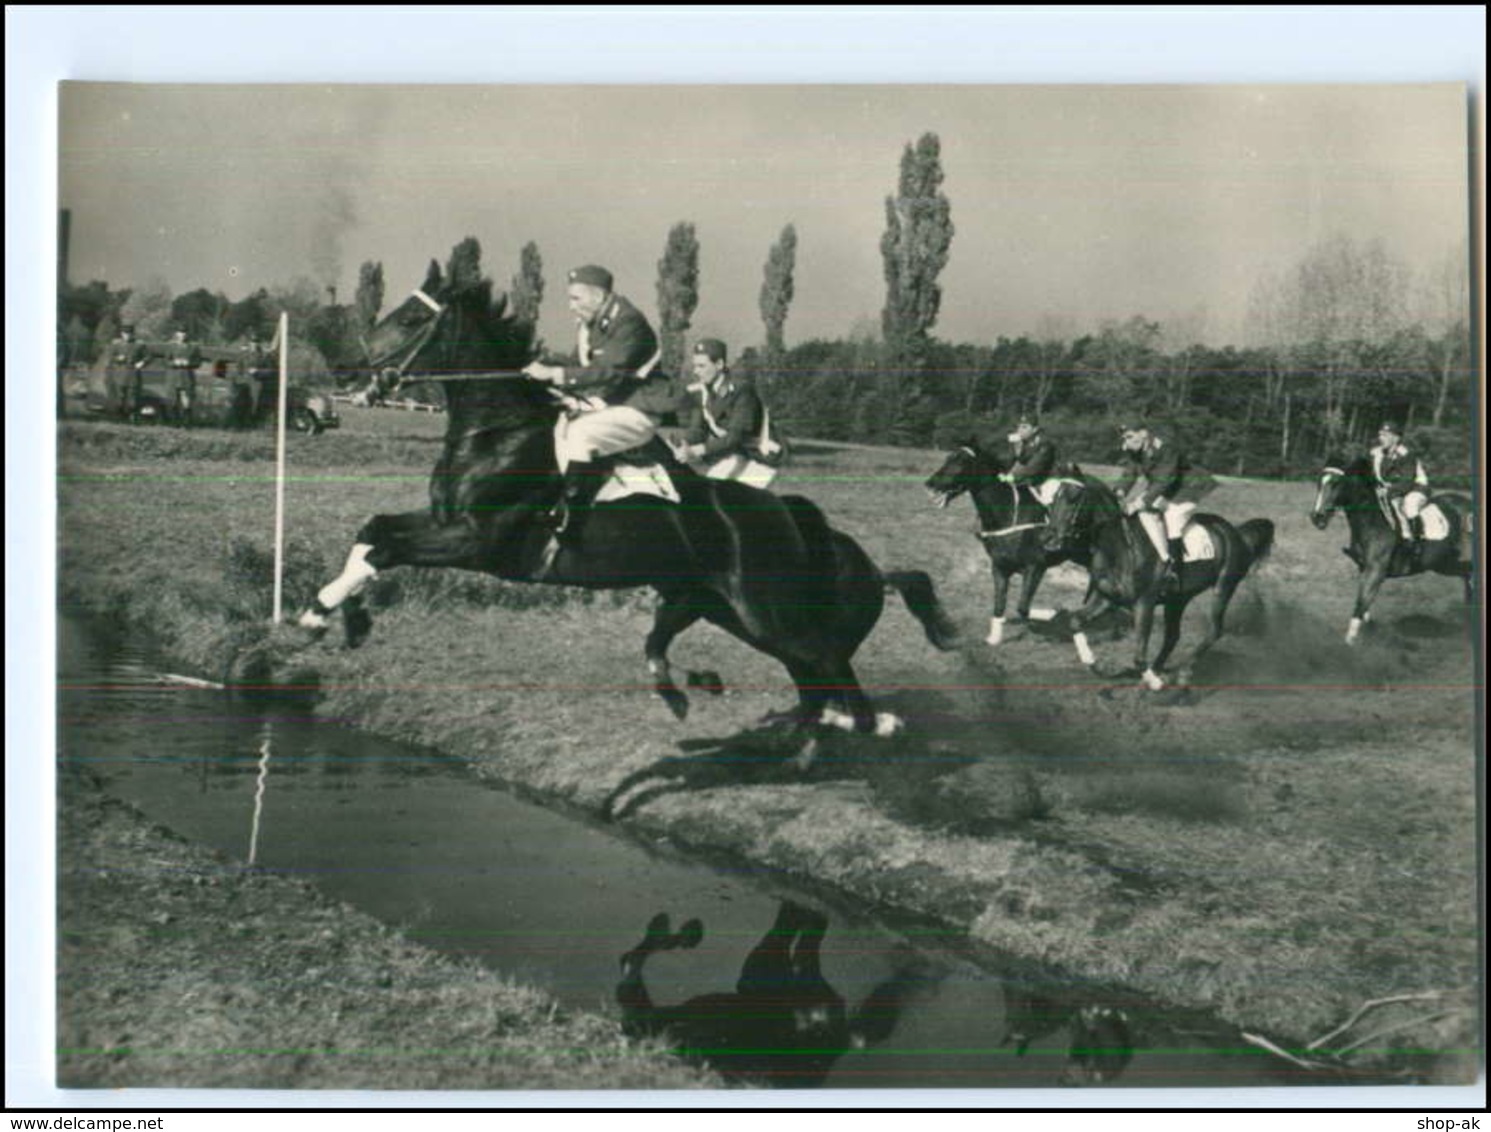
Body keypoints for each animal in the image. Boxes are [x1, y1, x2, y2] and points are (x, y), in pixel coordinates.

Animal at [296, 256, 960, 733]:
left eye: (411, 320)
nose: (345, 368)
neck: (499, 432)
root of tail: (794, 519)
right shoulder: (440, 522)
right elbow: (374, 532)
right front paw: (327, 613)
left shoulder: (476, 542)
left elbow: (385, 546)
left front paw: (333, 616)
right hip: (730, 610)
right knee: (813, 672)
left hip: (764, 613)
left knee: (830, 666)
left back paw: (869, 723)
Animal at [918, 441, 1121, 647]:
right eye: (948, 458)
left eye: (961, 461)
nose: (930, 483)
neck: (1010, 514)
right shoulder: (999, 567)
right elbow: (1000, 604)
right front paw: (994, 638)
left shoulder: (1035, 567)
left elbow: (1022, 607)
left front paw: (1053, 615)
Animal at [1043, 480, 1276, 692]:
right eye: (1052, 502)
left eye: (1073, 500)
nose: (1050, 540)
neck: (1120, 546)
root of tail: (1237, 533)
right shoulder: (1106, 599)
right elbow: (1075, 621)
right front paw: (1092, 662)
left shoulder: (1144, 603)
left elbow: (1139, 655)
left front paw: (1155, 684)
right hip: (1178, 599)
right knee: (1173, 635)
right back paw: (1158, 669)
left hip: (1224, 587)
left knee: (1215, 630)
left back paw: (1181, 673)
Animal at [1312, 453, 1473, 647]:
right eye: (1319, 483)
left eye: (1336, 483)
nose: (1317, 517)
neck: (1372, 521)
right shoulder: (1364, 569)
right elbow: (1365, 606)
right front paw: (1369, 629)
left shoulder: (1376, 571)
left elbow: (1361, 603)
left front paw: (1349, 642)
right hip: (1447, 564)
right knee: (1467, 581)